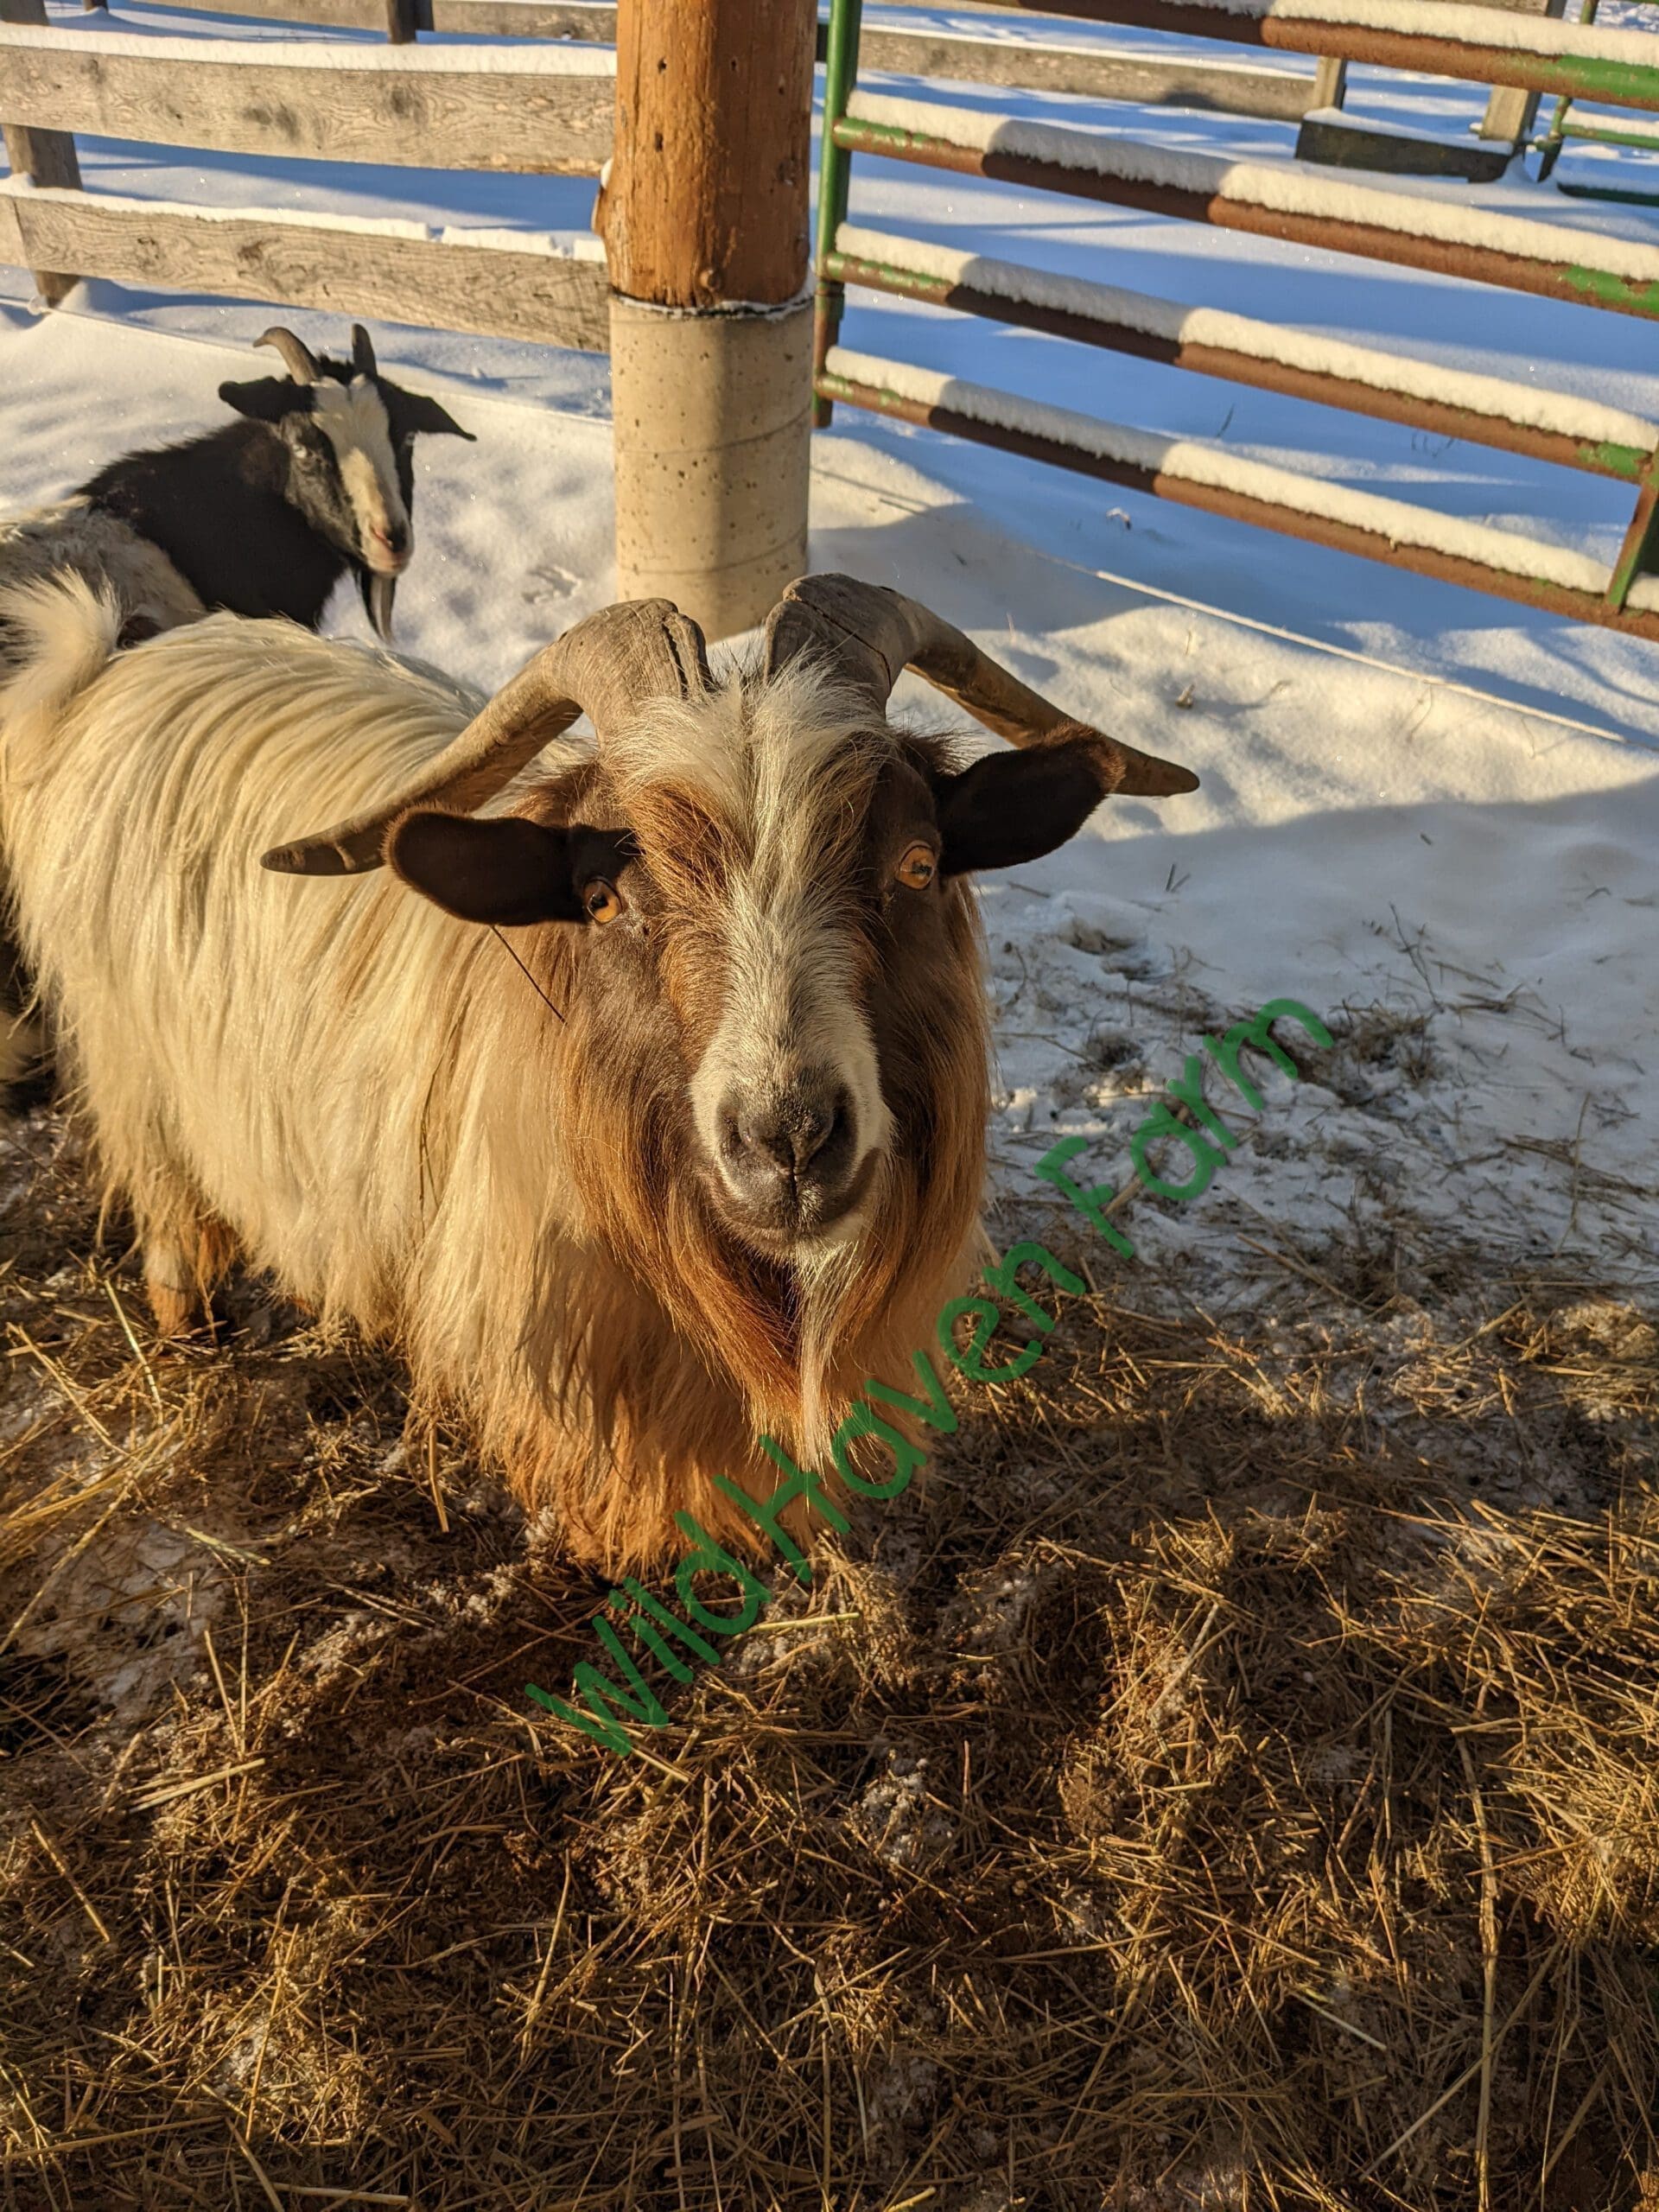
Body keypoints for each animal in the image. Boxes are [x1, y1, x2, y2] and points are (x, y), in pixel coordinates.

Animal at [0, 573, 1197, 1570]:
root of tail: (107, 671)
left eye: (914, 863)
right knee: (169, 1218)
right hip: (138, 1070)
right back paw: (190, 1331)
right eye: (607, 898)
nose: (792, 1138)